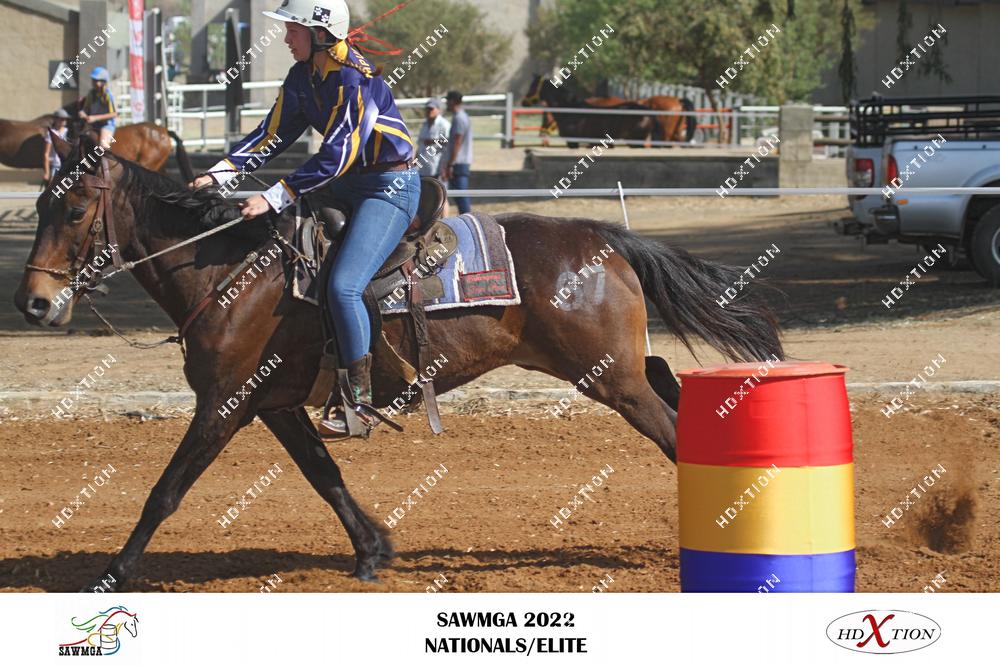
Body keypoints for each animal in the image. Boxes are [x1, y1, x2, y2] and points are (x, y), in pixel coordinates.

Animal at [14, 131, 783, 591]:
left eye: (76, 210)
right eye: (40, 204)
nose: (33, 304)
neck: (231, 271)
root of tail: (604, 238)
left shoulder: (223, 405)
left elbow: (165, 491)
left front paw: (114, 571)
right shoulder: (275, 406)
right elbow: (324, 476)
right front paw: (373, 550)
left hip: (609, 379)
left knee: (674, 432)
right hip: (617, 371)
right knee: (670, 388)